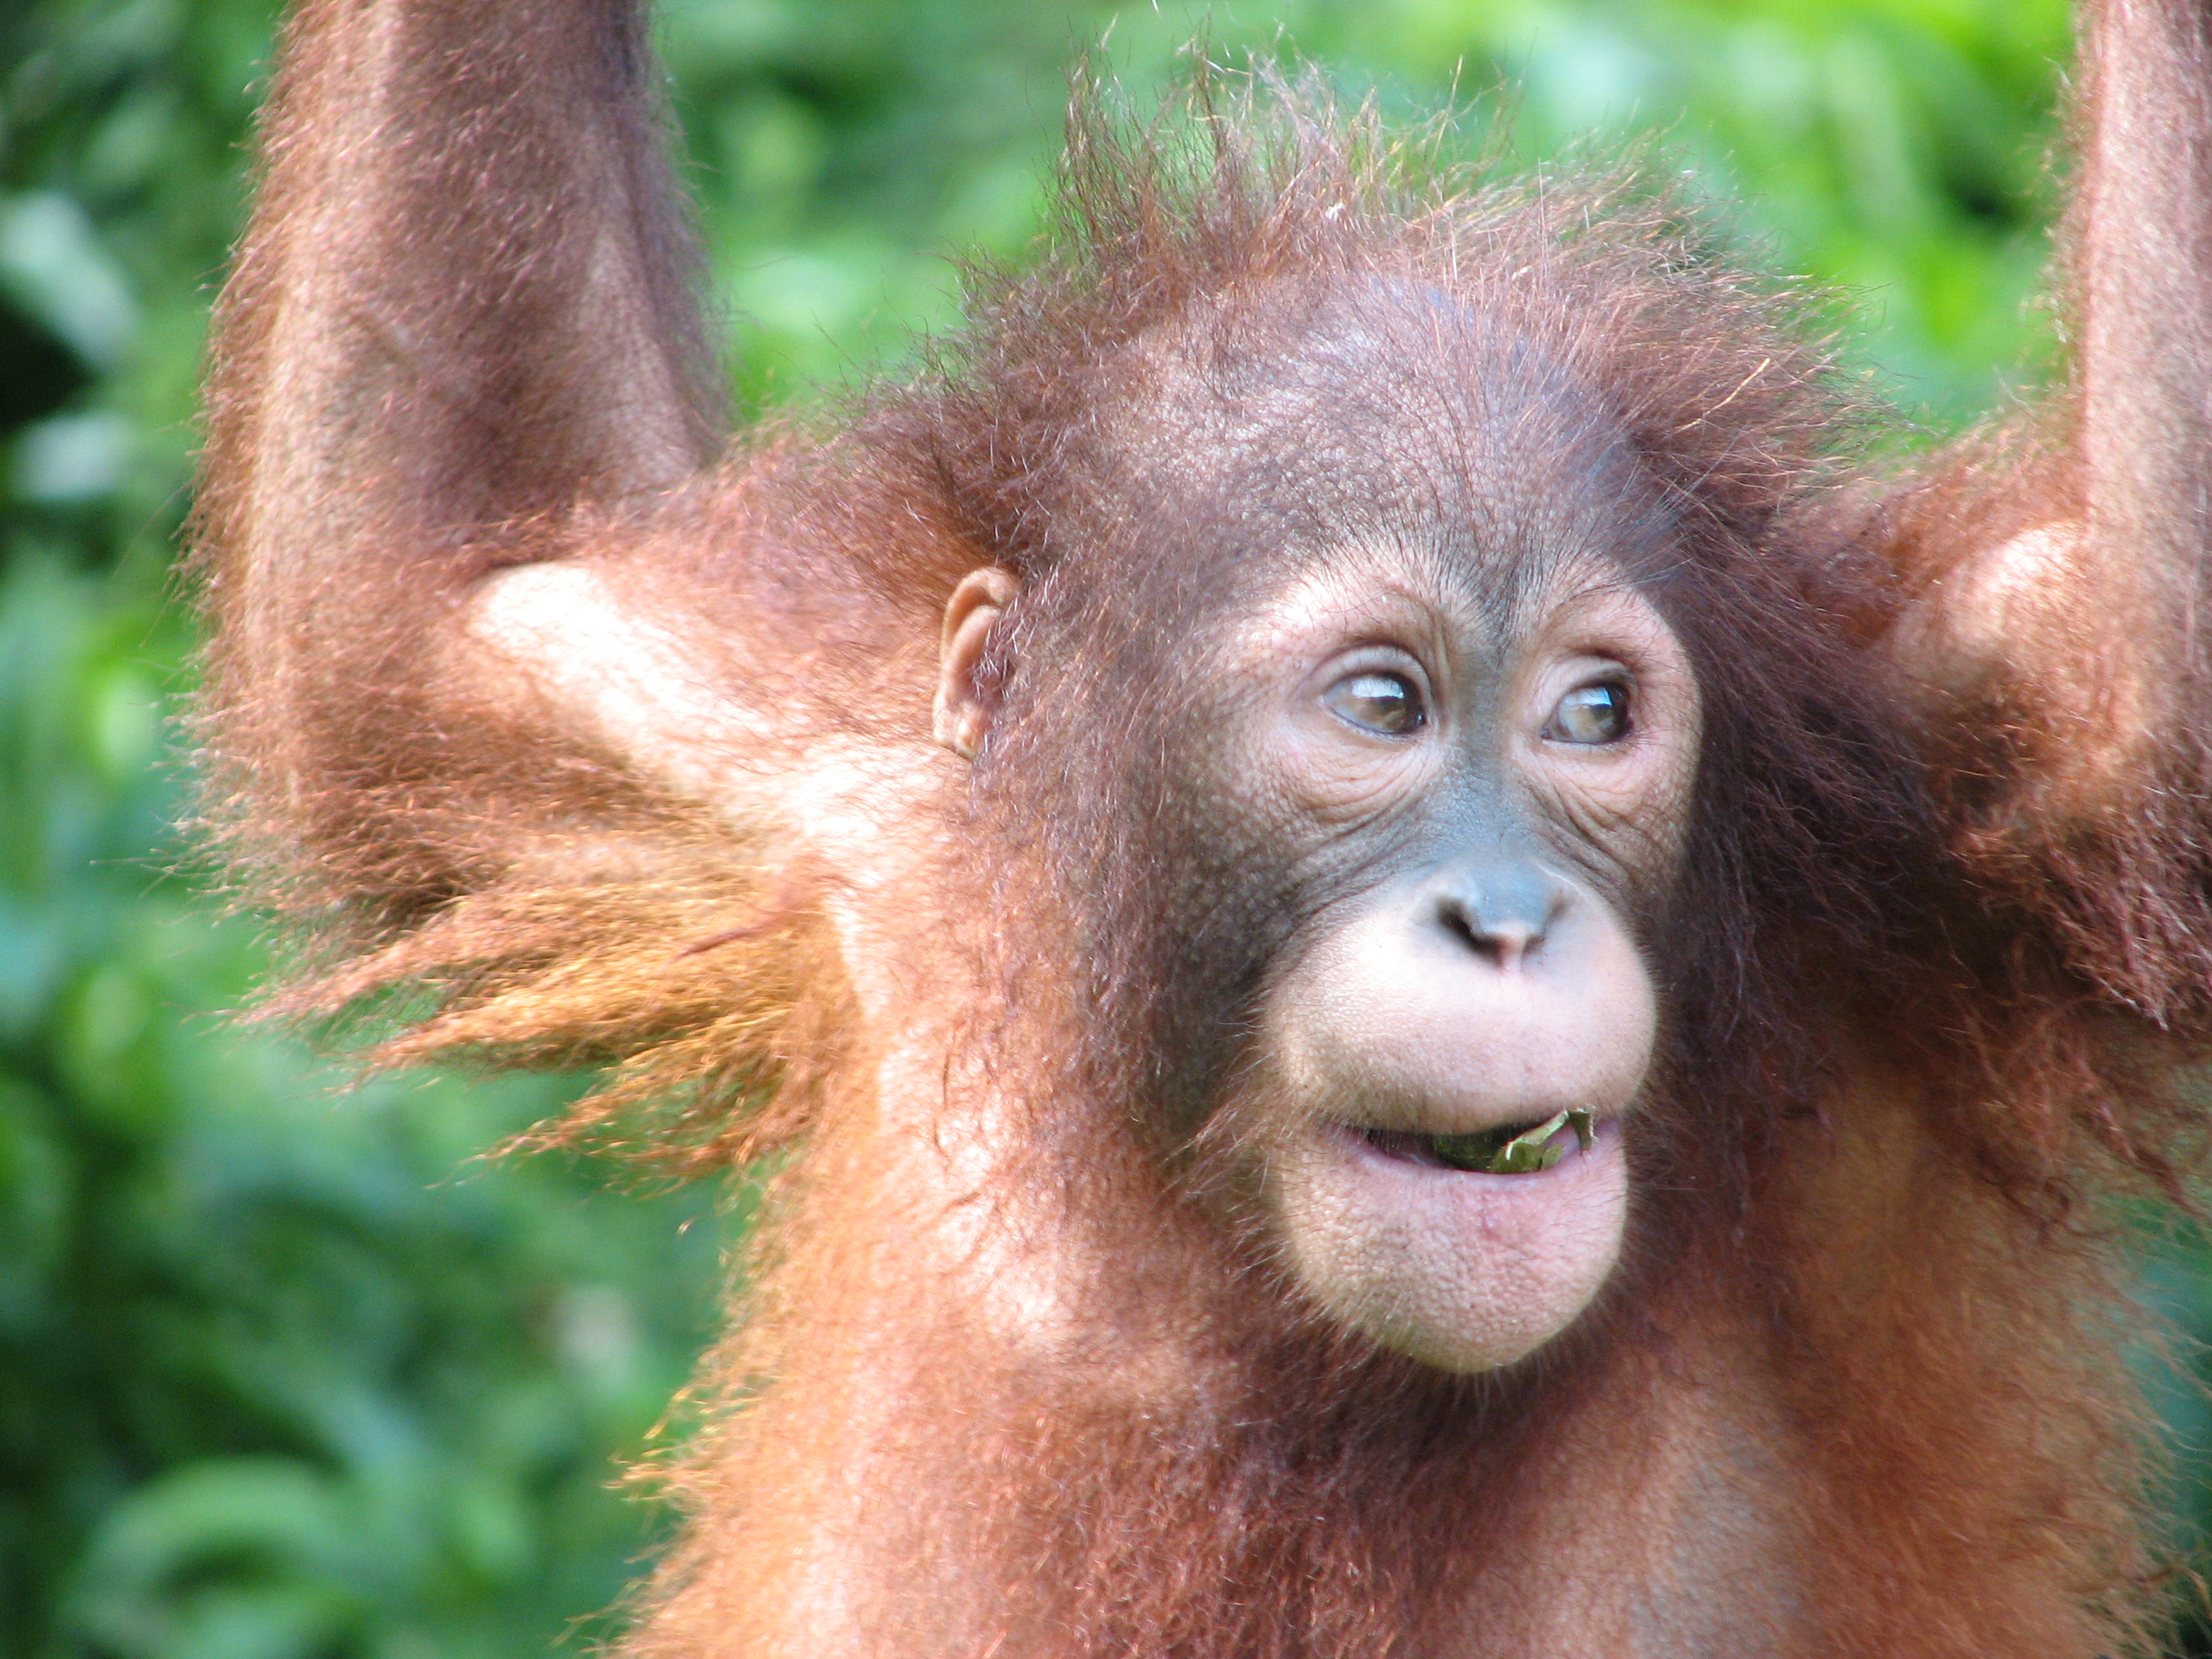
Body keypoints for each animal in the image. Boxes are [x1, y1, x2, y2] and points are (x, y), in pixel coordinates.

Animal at [189, 0, 2212, 1653]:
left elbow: (2149, 691)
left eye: (1595, 716)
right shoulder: (818, 783)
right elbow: (414, 612)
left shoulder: (1892, 813)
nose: (1507, 918)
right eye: (1384, 704)